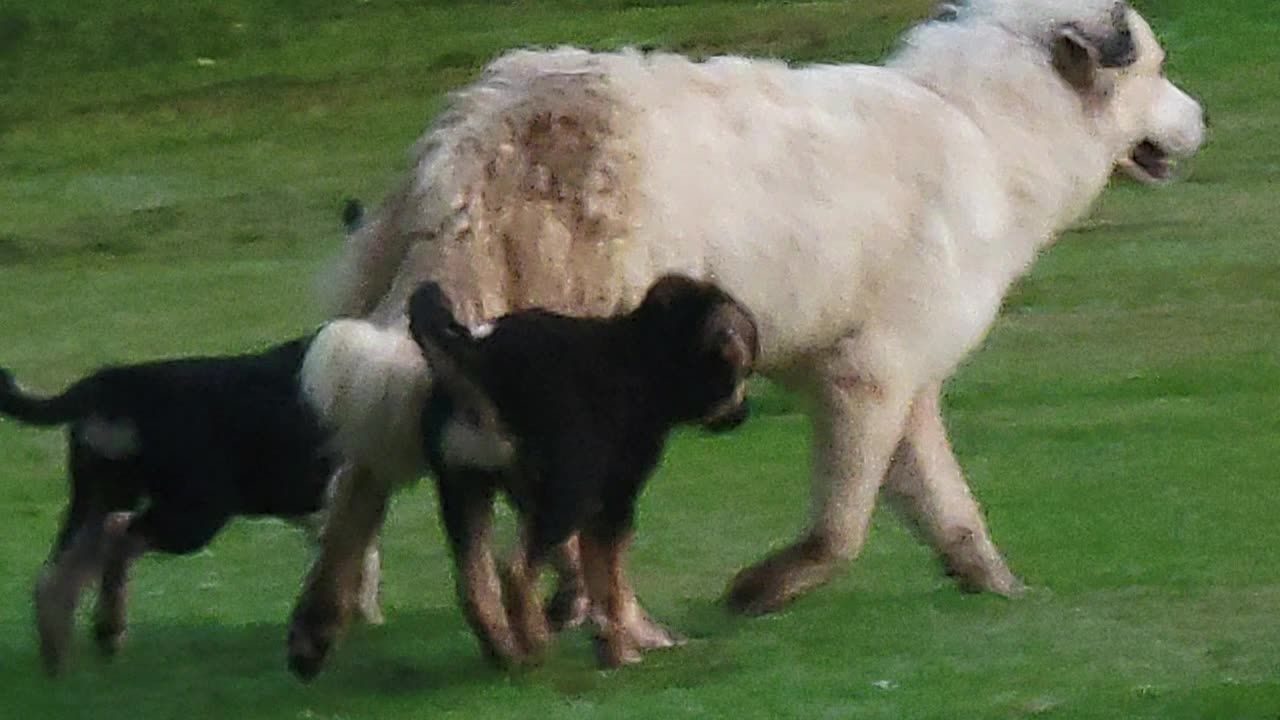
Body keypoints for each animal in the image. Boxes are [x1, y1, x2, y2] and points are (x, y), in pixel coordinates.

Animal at [0, 335, 384, 671]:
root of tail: (110, 384)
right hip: (194, 513)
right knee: (116, 537)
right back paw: (108, 632)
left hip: (98, 495)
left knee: (56, 574)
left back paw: (59, 660)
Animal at [404, 271, 752, 666]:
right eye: (740, 369)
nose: (743, 414)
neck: (645, 357)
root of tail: (479, 356)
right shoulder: (613, 504)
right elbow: (610, 582)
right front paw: (620, 651)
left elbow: (595, 576)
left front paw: (610, 639)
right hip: (566, 494)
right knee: (515, 571)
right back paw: (535, 641)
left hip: (464, 489)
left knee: (473, 583)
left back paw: (505, 651)